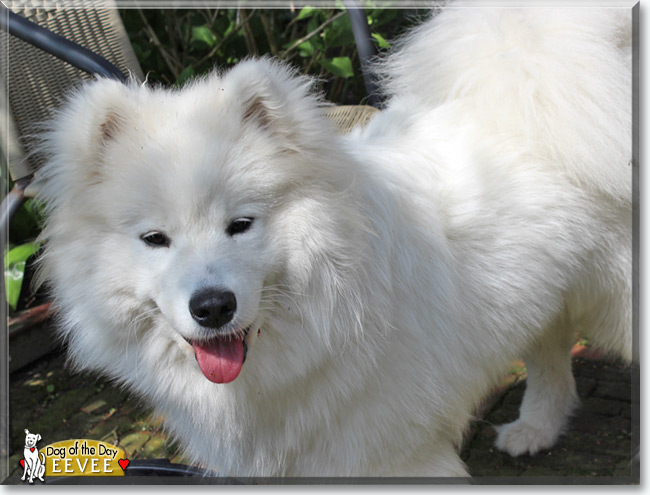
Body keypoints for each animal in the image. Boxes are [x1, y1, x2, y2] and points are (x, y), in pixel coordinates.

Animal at [34, 2, 628, 476]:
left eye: (241, 224)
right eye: (155, 238)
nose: (213, 306)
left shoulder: (399, 456)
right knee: (551, 357)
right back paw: (536, 429)